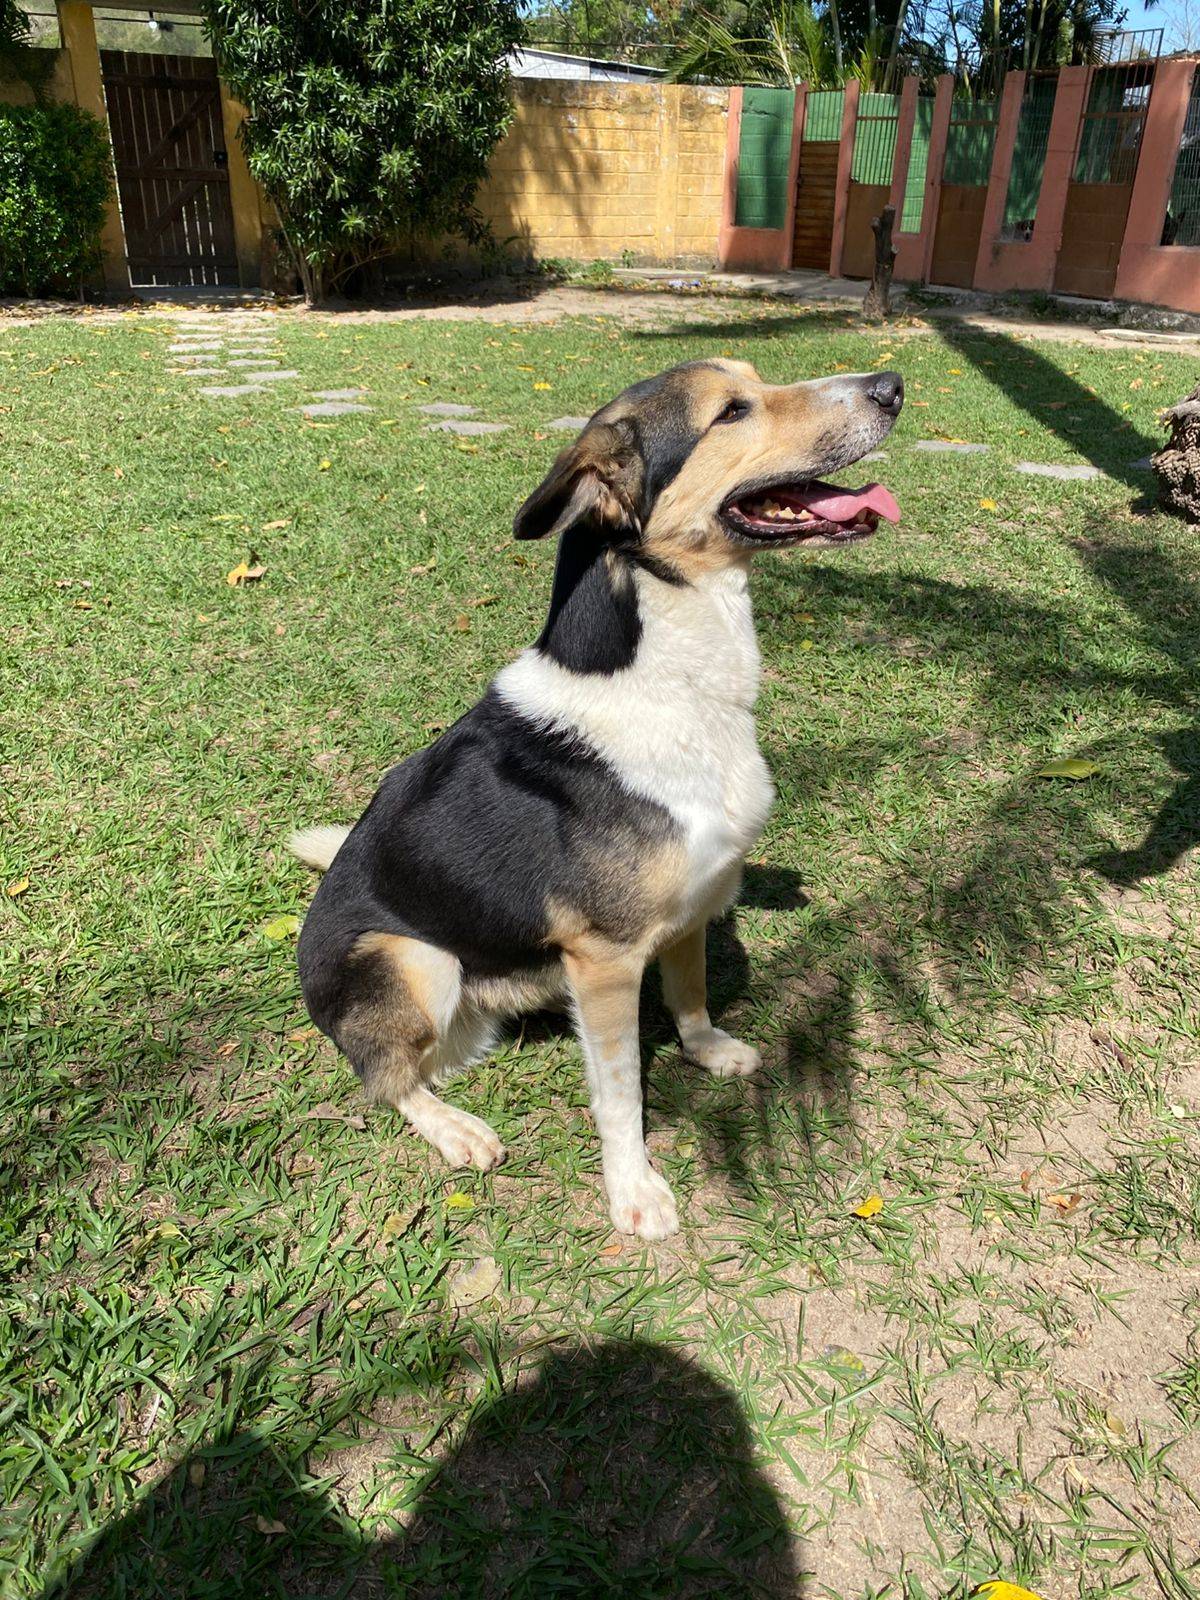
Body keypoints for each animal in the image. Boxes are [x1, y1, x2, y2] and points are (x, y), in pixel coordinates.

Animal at [292, 358, 903, 1240]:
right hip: (416, 961)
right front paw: (632, 1189)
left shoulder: (692, 908)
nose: (891, 385)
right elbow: (619, 1095)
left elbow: (690, 996)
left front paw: (708, 1051)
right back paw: (455, 1128)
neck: (670, 674)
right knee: (385, 1079)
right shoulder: (605, 960)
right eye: (733, 411)